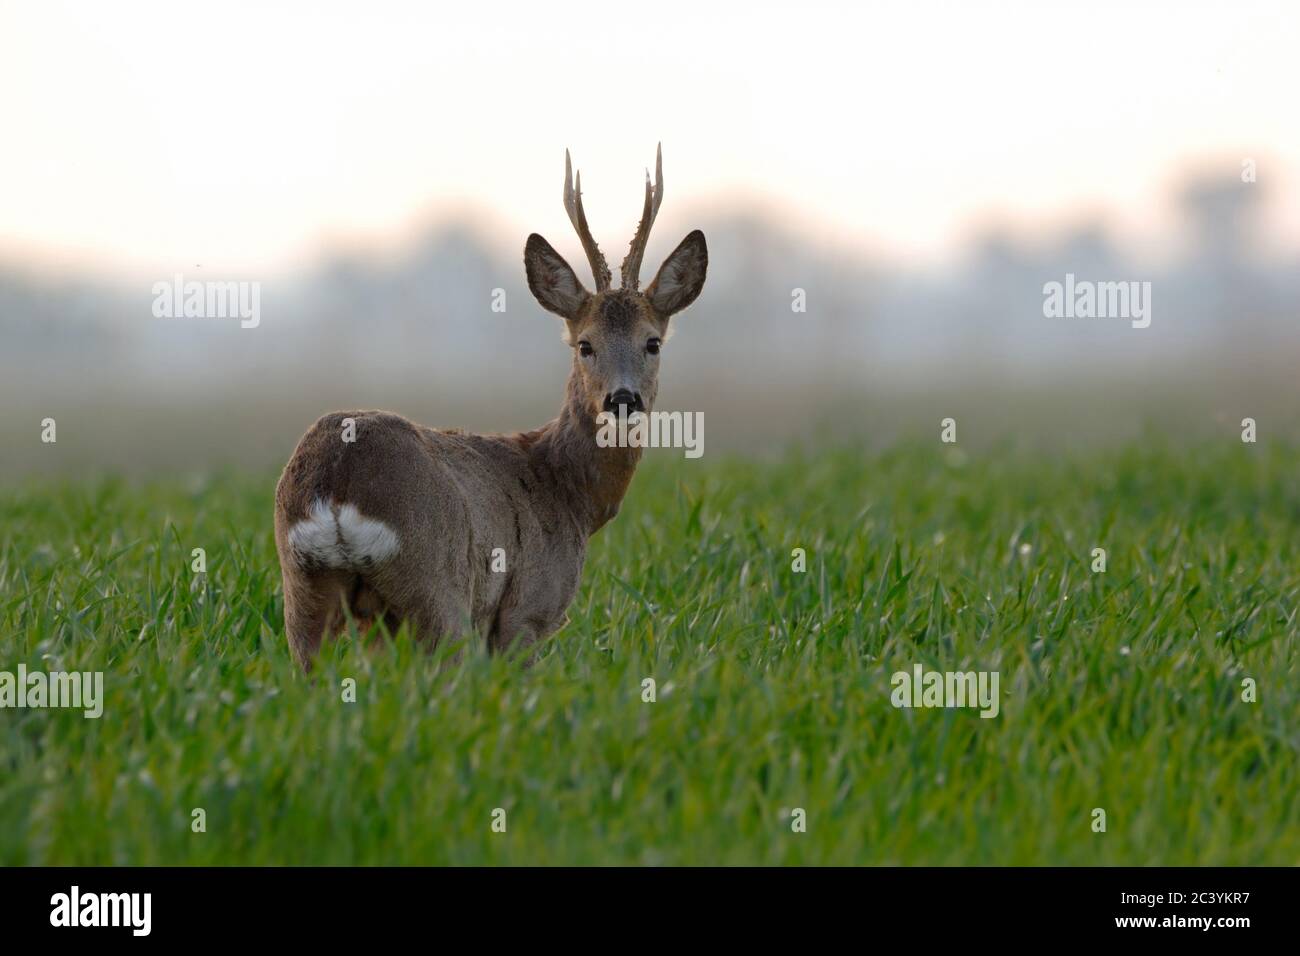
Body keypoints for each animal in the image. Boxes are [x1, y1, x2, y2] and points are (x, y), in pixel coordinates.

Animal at [273, 146, 708, 670]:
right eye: (585, 344)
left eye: (652, 342)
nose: (622, 400)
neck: (569, 494)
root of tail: (336, 484)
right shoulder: (528, 607)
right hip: (438, 590)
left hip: (304, 590)